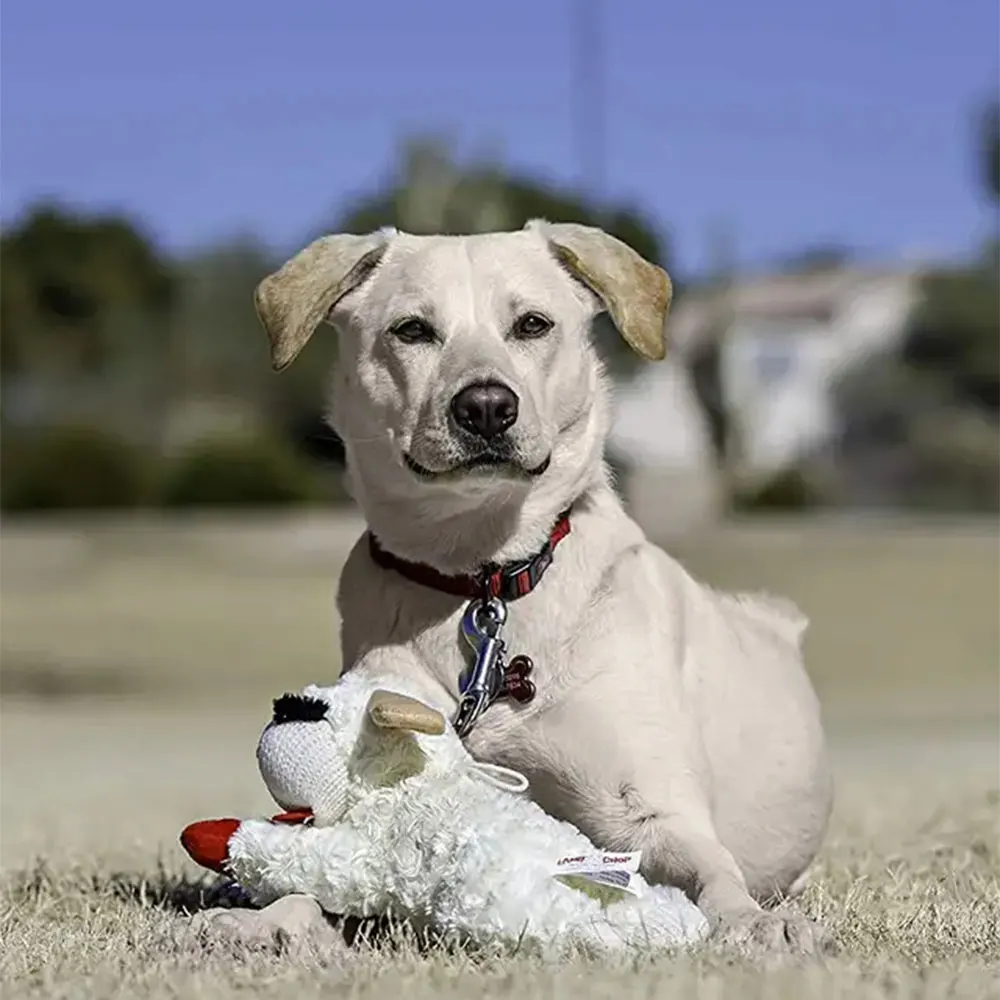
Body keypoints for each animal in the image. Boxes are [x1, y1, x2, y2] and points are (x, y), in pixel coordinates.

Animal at [254, 223, 832, 956]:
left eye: (532, 324)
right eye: (412, 330)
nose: (486, 407)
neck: (483, 576)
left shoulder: (646, 806)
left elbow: (710, 871)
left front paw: (754, 922)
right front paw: (270, 919)